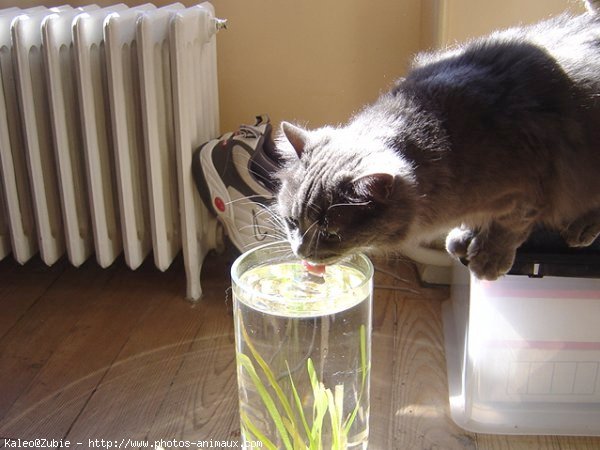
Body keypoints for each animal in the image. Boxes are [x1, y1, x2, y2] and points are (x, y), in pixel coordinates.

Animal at [274, 1, 600, 280]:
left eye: (331, 235)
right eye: (292, 222)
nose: (302, 252)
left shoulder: (533, 185)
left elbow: (508, 225)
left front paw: (488, 259)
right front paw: (465, 237)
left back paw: (580, 229)